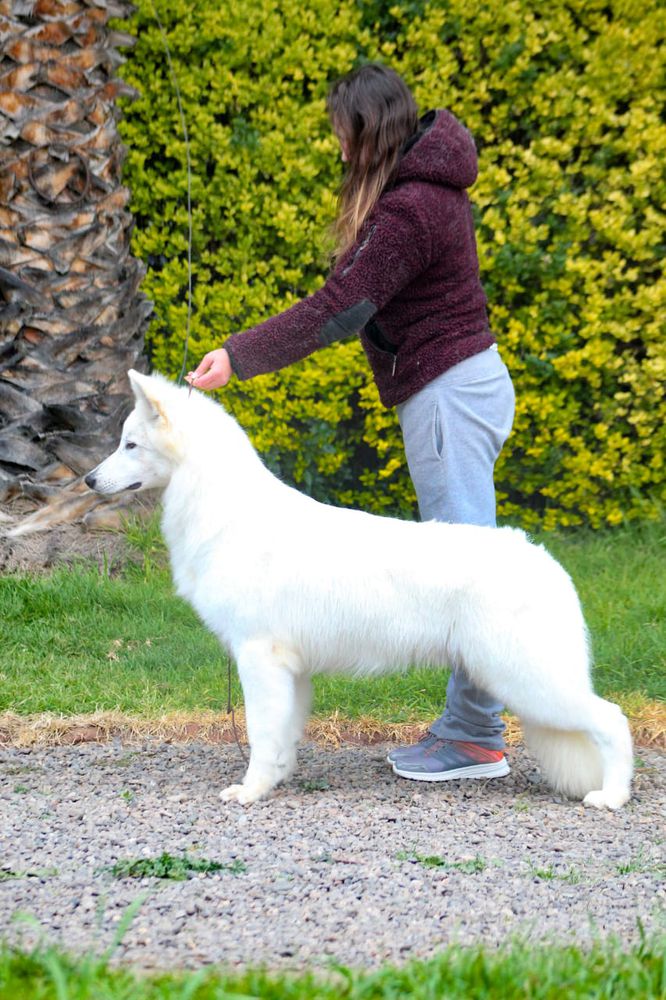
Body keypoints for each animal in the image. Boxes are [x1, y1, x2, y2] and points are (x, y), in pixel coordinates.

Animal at [85, 372, 632, 808]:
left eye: (130, 445)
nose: (89, 480)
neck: (223, 510)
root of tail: (546, 561)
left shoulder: (259, 658)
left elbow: (260, 733)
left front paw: (251, 791)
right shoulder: (289, 670)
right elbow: (282, 736)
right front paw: (276, 779)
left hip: (525, 677)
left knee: (611, 719)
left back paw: (612, 796)